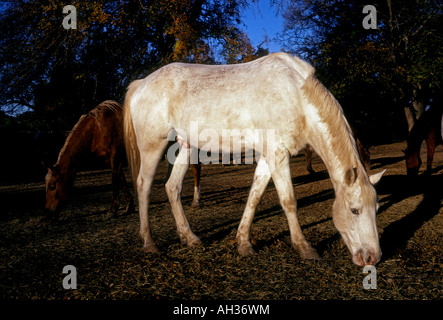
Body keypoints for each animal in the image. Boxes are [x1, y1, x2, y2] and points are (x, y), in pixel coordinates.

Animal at [124, 52, 386, 266]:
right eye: (354, 210)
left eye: (377, 208)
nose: (373, 258)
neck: (296, 95)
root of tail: (141, 83)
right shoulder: (277, 154)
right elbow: (289, 201)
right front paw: (304, 247)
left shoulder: (269, 156)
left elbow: (254, 197)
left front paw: (243, 243)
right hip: (152, 146)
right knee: (144, 186)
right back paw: (149, 243)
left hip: (186, 146)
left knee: (172, 187)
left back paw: (189, 237)